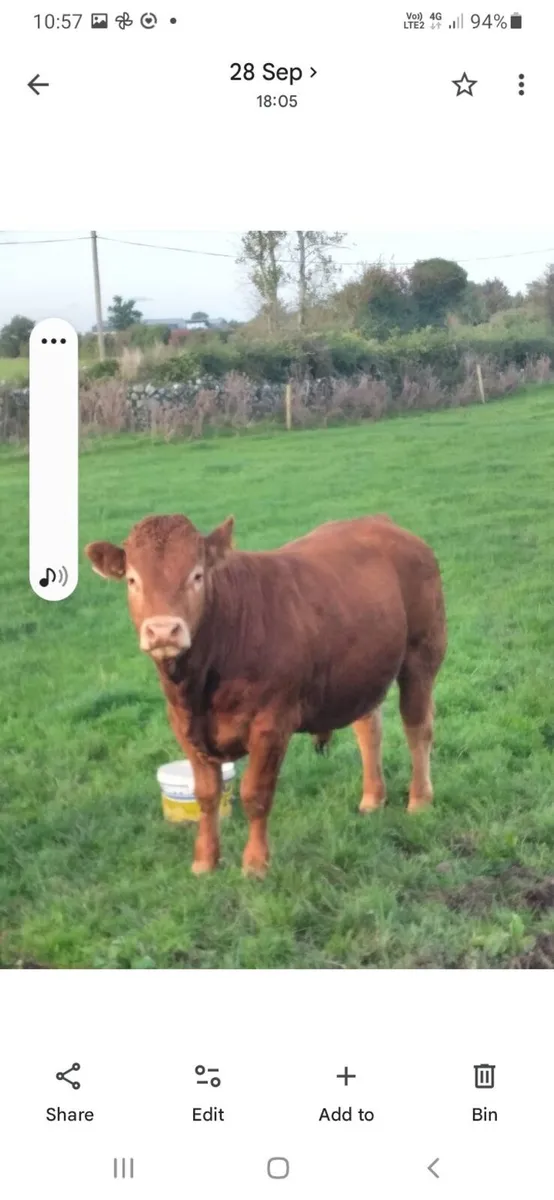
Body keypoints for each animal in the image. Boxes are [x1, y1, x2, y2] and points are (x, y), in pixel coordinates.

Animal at [85, 514, 447, 877]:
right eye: (133, 580)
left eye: (197, 575)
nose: (162, 631)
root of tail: (380, 522)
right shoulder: (183, 725)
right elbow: (206, 794)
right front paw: (205, 860)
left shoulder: (271, 723)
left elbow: (255, 794)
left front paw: (256, 864)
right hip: (361, 670)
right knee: (369, 729)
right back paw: (372, 798)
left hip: (422, 653)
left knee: (418, 728)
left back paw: (420, 799)